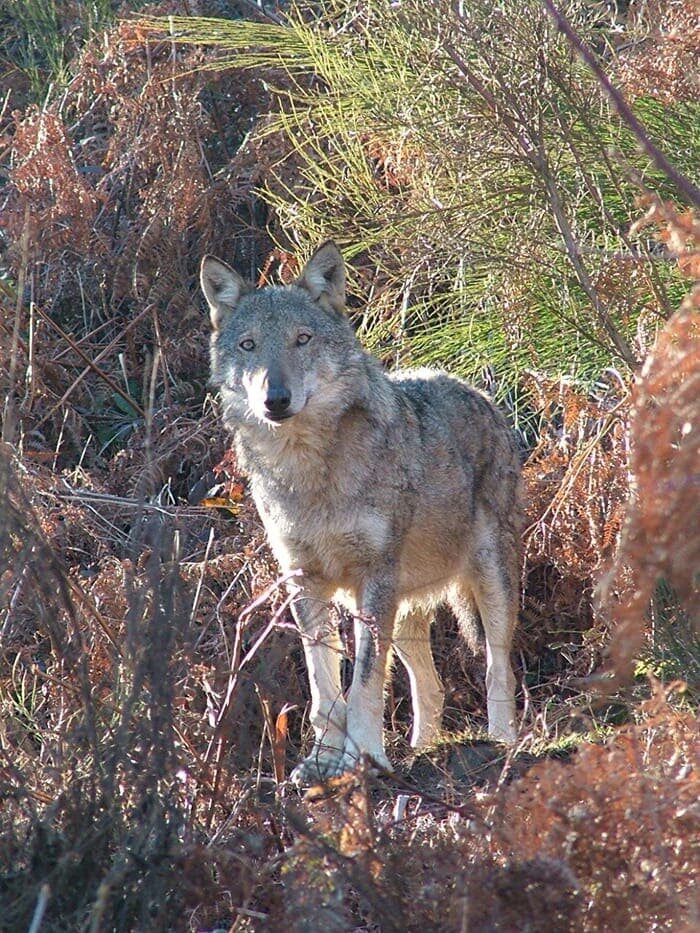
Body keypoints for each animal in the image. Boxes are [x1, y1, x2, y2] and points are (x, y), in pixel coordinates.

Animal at [201, 242, 522, 784]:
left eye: (302, 339)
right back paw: (422, 750)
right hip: (403, 608)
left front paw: (365, 757)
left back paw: (504, 740)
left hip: (486, 581)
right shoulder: (303, 581)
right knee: (430, 685)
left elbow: (364, 685)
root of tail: (476, 391)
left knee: (499, 666)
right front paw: (323, 761)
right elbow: (324, 690)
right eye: (248, 346)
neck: (311, 473)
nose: (275, 399)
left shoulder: (374, 576)